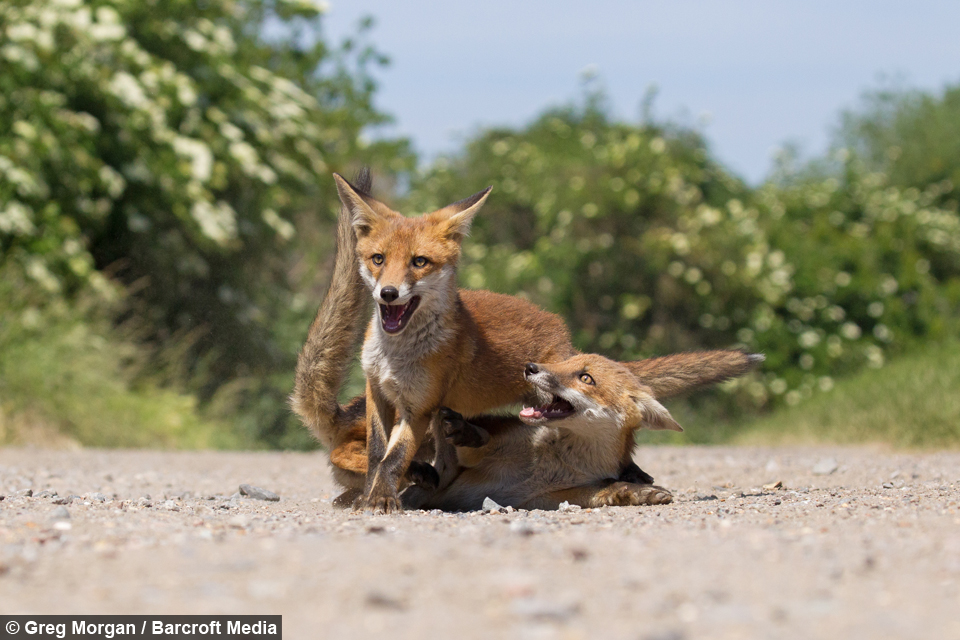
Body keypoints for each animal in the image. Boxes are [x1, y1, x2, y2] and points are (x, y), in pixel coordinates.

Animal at [308, 172, 762, 513]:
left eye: (419, 262)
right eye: (378, 259)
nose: (388, 294)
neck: (395, 358)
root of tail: (561, 333)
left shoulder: (420, 407)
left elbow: (394, 458)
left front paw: (382, 498)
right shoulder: (378, 392)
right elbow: (377, 456)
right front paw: (374, 496)